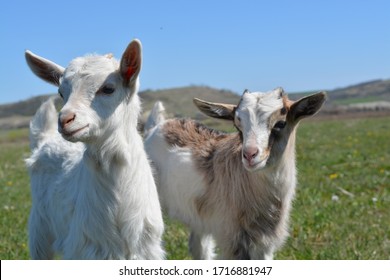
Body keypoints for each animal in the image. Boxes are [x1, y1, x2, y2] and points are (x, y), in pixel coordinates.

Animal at [24, 39, 165, 260]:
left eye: (108, 88)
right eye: (61, 93)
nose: (65, 120)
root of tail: (45, 140)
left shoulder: (146, 249)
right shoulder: (86, 249)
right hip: (40, 229)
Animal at [145, 88, 324, 260]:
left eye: (281, 123)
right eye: (238, 126)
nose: (250, 155)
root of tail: (157, 126)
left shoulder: (265, 244)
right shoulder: (232, 240)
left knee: (198, 247)